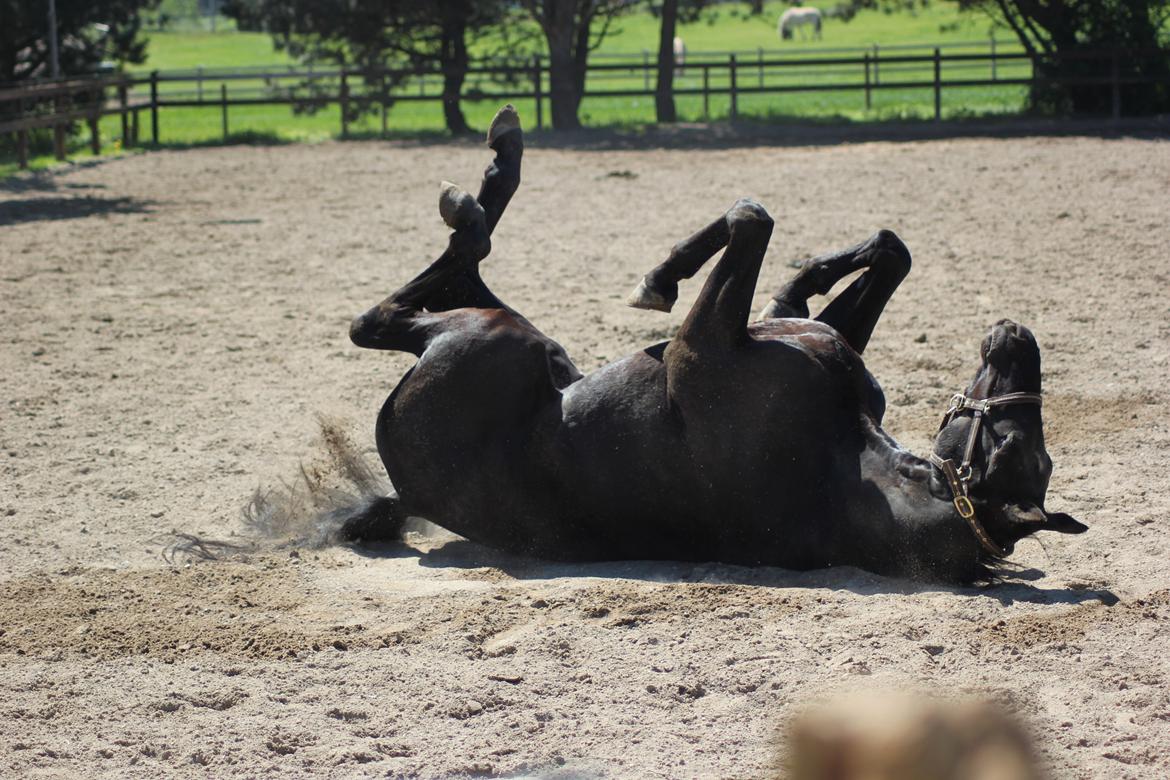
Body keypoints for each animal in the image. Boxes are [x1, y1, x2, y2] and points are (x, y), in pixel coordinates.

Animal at [346, 103, 1085, 582]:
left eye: (1013, 450)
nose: (1016, 336)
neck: (849, 462)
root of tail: (408, 496)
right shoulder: (799, 331)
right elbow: (881, 253)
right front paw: (815, 270)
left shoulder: (697, 347)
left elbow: (751, 217)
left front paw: (659, 278)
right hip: (532, 345)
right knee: (455, 273)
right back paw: (500, 161)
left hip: (492, 340)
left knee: (394, 307)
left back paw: (481, 188)